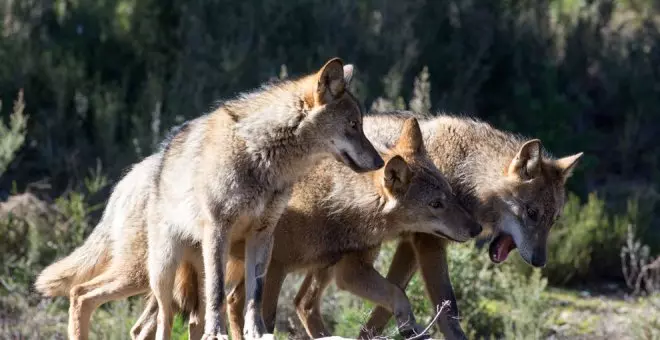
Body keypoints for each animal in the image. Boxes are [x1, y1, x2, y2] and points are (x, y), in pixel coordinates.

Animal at [36, 58, 384, 340]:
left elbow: (255, 294)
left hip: (179, 273)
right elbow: (219, 293)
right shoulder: (219, 229)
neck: (262, 156)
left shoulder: (263, 236)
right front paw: (218, 333)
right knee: (94, 298)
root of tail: (129, 177)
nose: (380, 162)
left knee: (171, 321)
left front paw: (256, 332)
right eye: (353, 126)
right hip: (155, 272)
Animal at [130, 117, 480, 340]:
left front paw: (409, 328)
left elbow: (397, 294)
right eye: (436, 204)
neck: (332, 202)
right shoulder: (277, 269)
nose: (476, 228)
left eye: (450, 195)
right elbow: (268, 321)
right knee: (153, 324)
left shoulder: (348, 271)